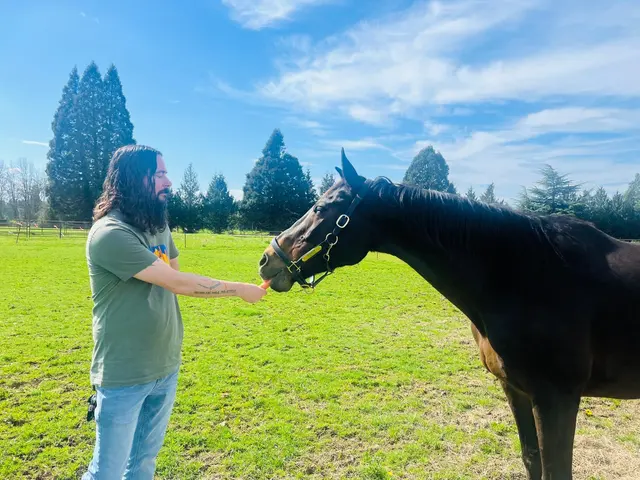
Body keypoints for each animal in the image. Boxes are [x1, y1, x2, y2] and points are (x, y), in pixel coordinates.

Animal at [258, 149, 640, 480]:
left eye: (322, 207)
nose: (266, 260)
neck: (526, 276)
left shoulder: (557, 398)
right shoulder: (516, 390)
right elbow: (531, 460)